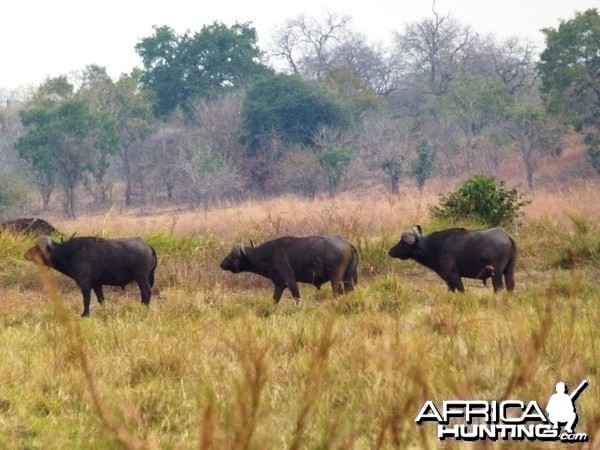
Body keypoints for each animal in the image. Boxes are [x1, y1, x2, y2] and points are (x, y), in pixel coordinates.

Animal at [24, 236, 158, 316]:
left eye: (37, 248)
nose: (26, 254)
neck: (69, 253)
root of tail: (147, 245)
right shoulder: (97, 285)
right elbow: (101, 299)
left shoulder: (85, 284)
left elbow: (86, 300)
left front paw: (85, 314)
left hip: (141, 277)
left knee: (146, 292)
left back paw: (143, 308)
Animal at [219, 234, 356, 304]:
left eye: (232, 255)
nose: (221, 264)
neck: (267, 254)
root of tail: (348, 244)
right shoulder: (279, 284)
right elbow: (275, 299)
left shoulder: (290, 281)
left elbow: (296, 297)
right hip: (348, 277)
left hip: (336, 277)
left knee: (337, 292)